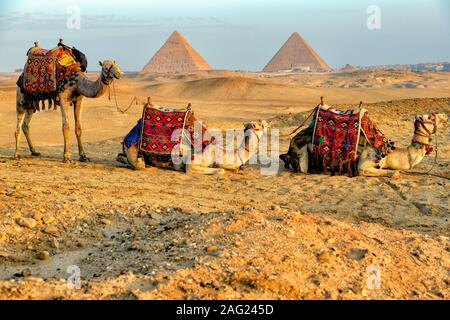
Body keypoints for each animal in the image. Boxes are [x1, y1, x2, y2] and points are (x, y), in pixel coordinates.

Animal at [118, 120, 268, 175]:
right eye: (261, 124)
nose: (268, 123)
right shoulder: (195, 160)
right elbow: (218, 170)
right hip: (134, 152)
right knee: (139, 164)